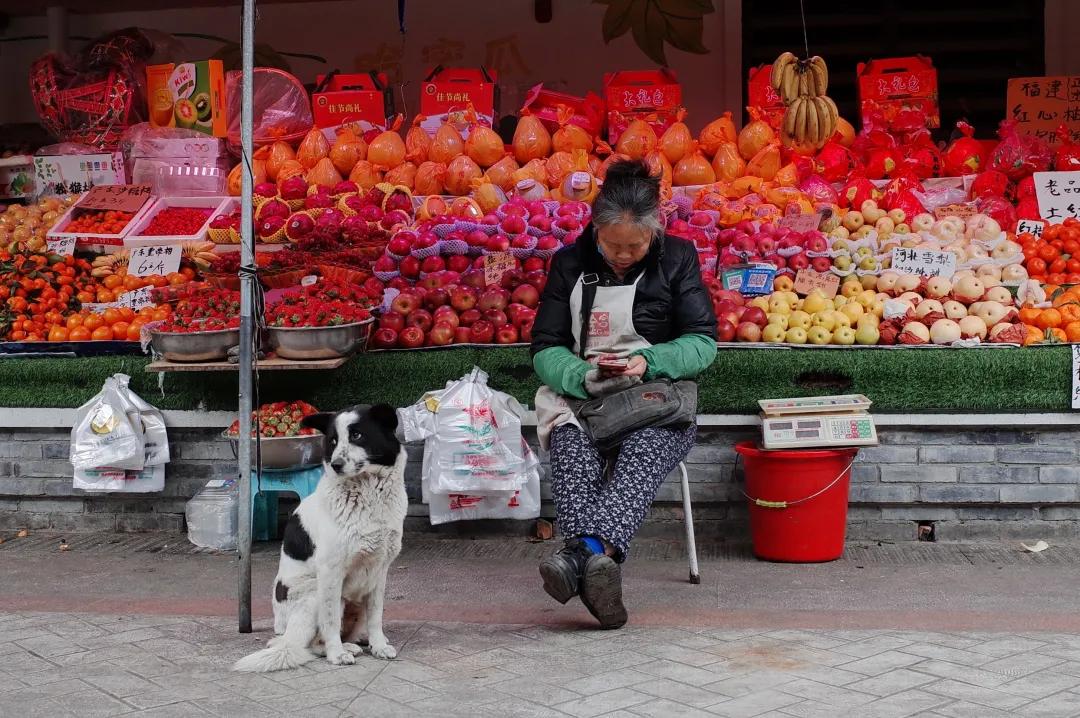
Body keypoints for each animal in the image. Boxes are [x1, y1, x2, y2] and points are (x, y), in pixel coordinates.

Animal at [234, 403, 406, 673]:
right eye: (333, 441)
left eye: (357, 435)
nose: (335, 464)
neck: (367, 495)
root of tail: (283, 635)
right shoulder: (331, 571)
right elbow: (330, 620)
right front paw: (336, 655)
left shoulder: (380, 571)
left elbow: (376, 615)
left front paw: (378, 646)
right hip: (314, 594)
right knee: (314, 643)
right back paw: (340, 649)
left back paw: (355, 642)